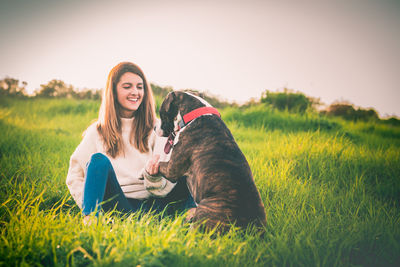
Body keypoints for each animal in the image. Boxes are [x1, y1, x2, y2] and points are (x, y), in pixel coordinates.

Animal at [158, 91, 268, 232]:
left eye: (161, 113)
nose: (154, 127)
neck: (193, 116)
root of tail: (249, 229)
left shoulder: (171, 169)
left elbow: (157, 164)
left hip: (206, 207)